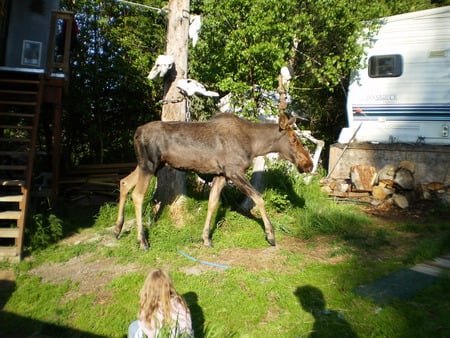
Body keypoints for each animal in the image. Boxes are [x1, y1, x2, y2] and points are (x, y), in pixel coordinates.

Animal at [113, 112, 312, 250]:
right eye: (294, 139)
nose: (309, 164)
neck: (255, 145)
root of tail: (136, 133)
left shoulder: (221, 174)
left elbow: (212, 202)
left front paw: (206, 238)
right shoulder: (233, 171)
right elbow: (258, 197)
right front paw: (271, 235)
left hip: (148, 165)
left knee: (124, 182)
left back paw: (117, 229)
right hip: (149, 165)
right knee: (138, 195)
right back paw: (142, 241)